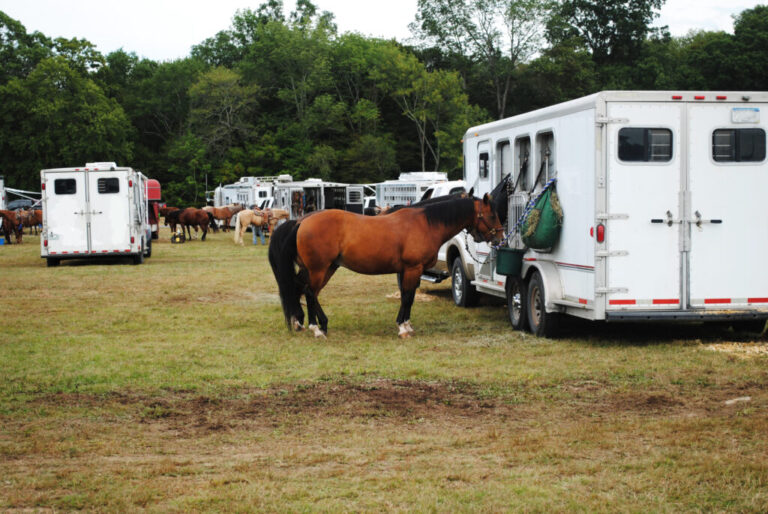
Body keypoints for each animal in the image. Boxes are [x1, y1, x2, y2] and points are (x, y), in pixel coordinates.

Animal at [270, 192, 504, 336]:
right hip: (319, 269)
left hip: (324, 268)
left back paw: (307, 323)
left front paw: (406, 324)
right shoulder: (412, 269)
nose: (500, 238)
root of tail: (301, 221)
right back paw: (316, 329)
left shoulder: (410, 271)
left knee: (302, 290)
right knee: (310, 292)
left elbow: (408, 297)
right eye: (492, 214)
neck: (425, 223)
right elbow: (407, 297)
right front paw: (403, 328)